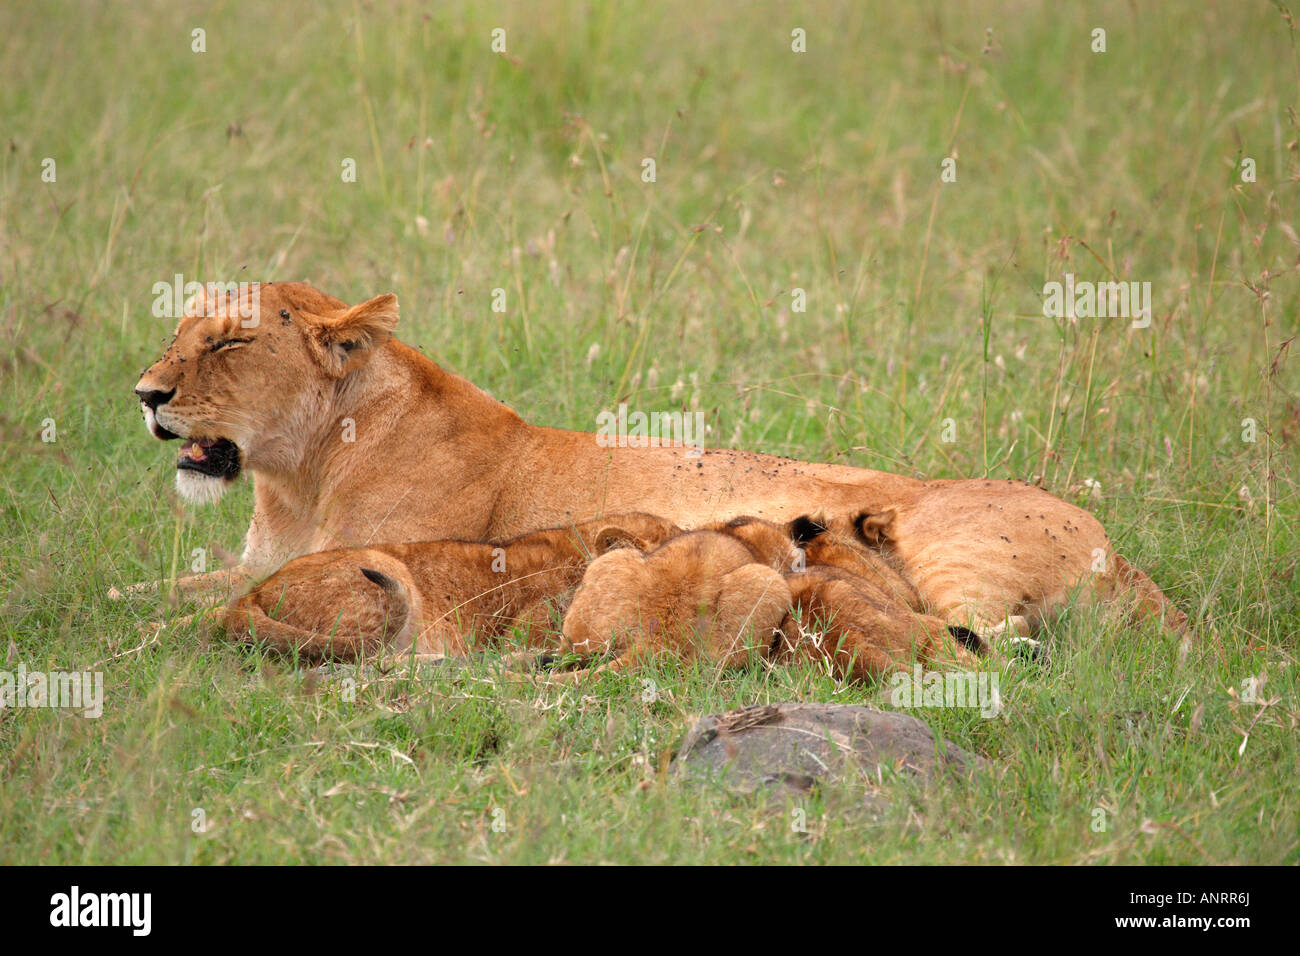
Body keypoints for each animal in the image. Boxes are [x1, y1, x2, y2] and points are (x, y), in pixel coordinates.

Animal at [127, 281, 1188, 642]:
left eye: (230, 343)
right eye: (179, 332)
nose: (146, 394)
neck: (296, 476)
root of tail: (1120, 549)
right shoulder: (264, 558)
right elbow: (129, 591)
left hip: (951, 558)